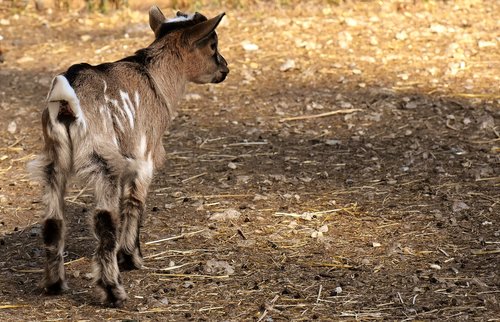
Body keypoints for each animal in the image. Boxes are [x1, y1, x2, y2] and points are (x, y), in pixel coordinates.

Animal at [29, 5, 229, 306]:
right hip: (103, 161)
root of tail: (66, 104)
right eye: (213, 45)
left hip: (53, 161)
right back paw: (113, 290)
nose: (225, 69)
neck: (155, 77)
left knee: (53, 221)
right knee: (104, 223)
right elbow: (135, 204)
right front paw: (131, 258)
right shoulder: (144, 156)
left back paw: (55, 285)